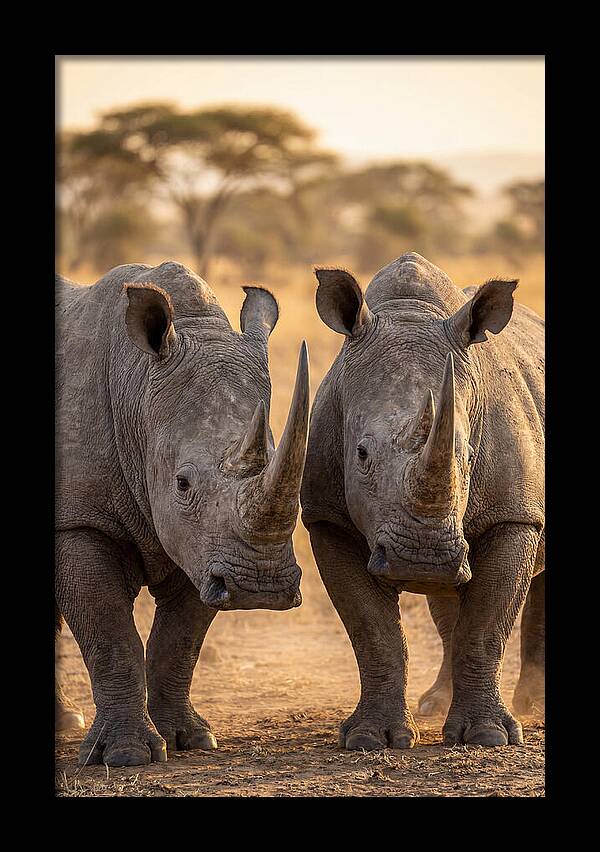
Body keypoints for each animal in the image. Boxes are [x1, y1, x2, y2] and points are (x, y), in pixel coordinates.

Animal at [55, 261, 309, 767]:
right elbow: (109, 634)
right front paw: (126, 756)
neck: (137, 388)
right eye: (183, 483)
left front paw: (189, 739)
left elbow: (179, 640)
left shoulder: (205, 546)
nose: (261, 587)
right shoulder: (79, 518)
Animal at [301, 252, 544, 749]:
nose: (422, 558)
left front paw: (489, 737)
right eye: (361, 454)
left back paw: (533, 705)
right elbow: (373, 633)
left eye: (468, 456)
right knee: (449, 600)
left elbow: (487, 627)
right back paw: (435, 703)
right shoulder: (327, 519)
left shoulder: (515, 516)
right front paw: (371, 739)